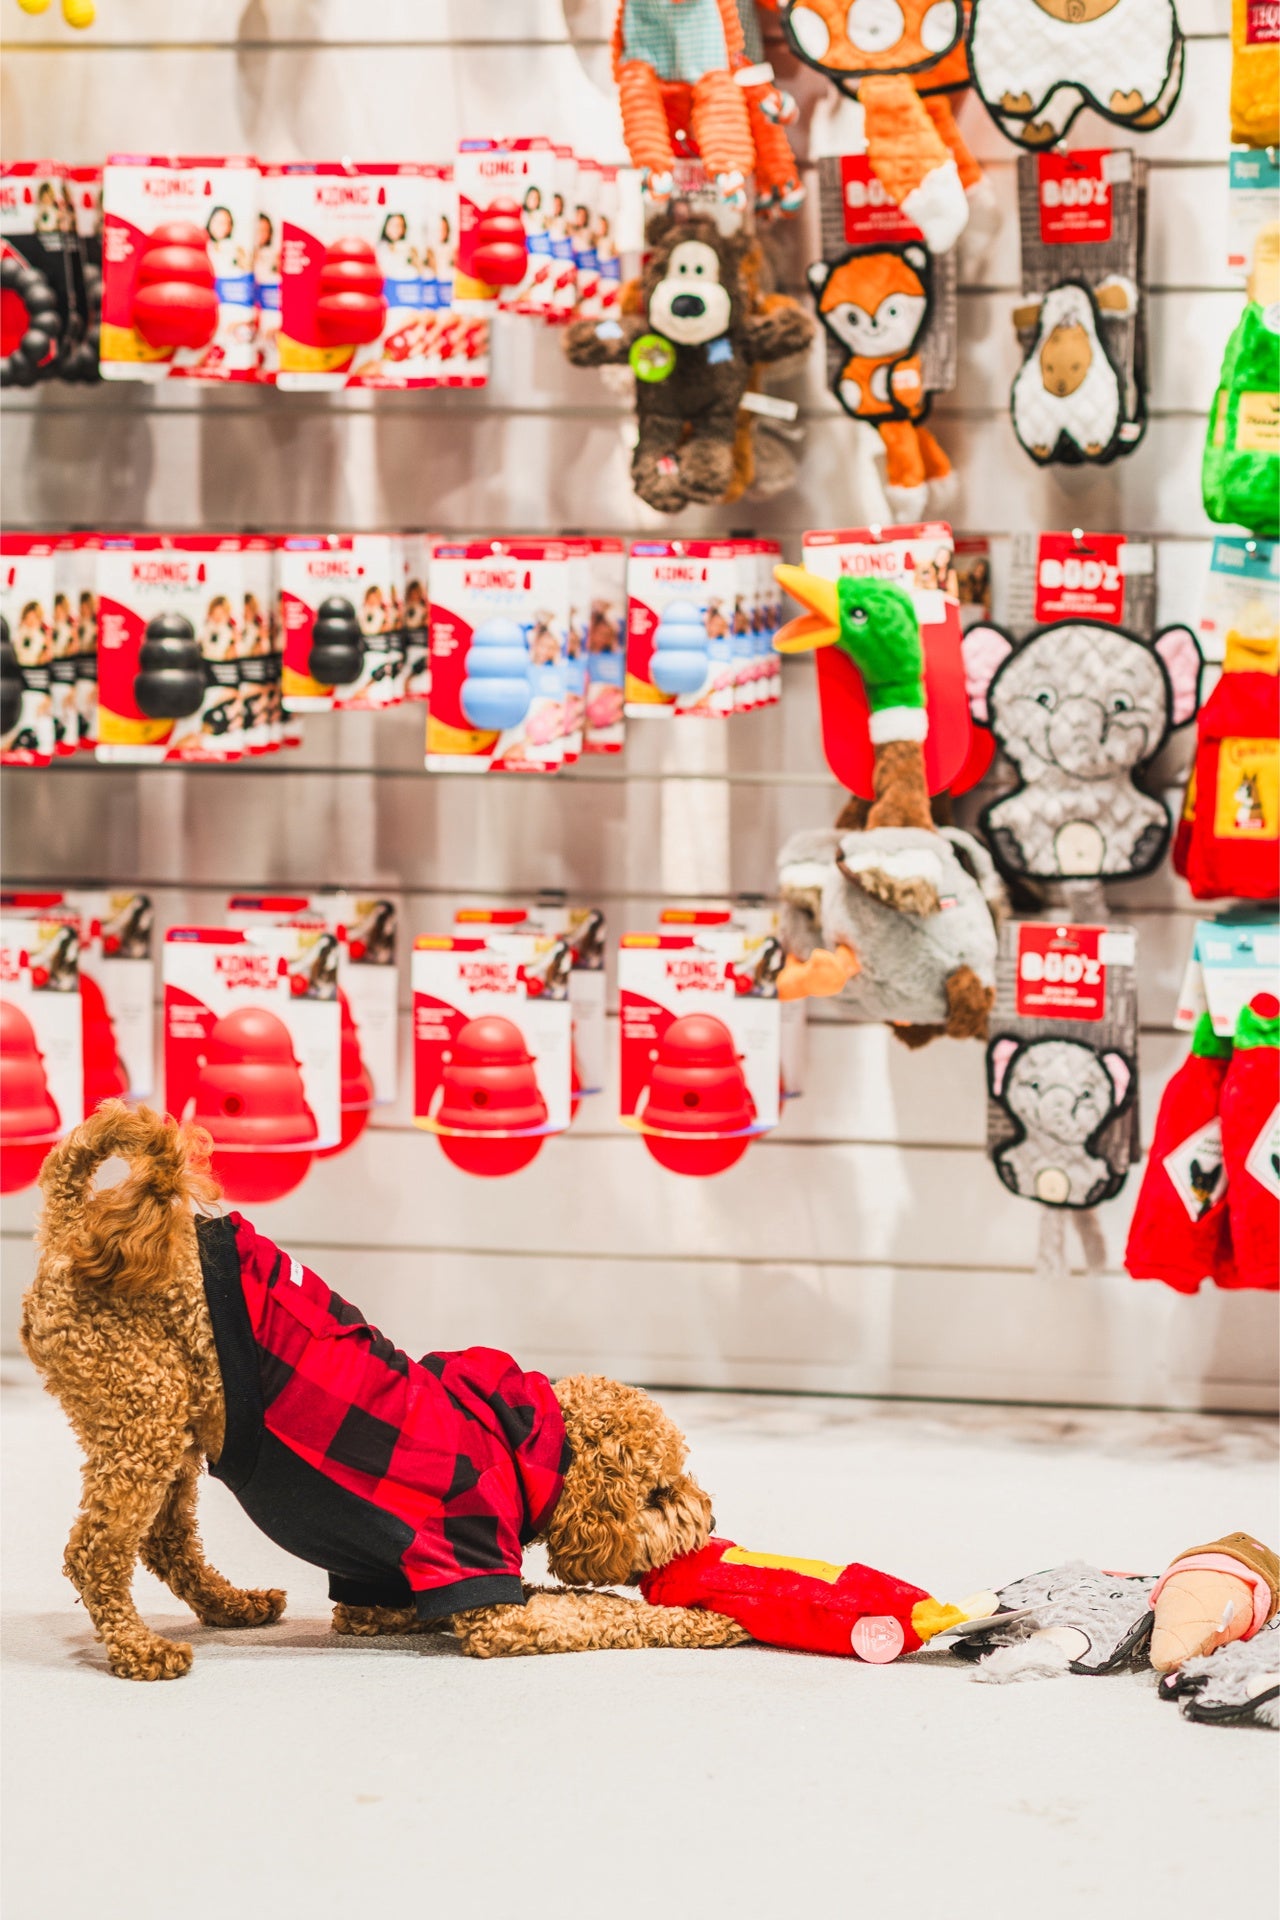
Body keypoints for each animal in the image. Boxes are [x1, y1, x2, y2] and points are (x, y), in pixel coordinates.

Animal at [20, 1113, 744, 1681]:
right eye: (659, 1494)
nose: (711, 1519)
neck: (524, 1449)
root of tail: (67, 1237)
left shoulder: (373, 1599)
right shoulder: (480, 1586)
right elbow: (602, 1611)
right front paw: (702, 1619)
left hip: (176, 1425)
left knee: (166, 1541)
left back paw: (233, 1606)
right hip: (143, 1412)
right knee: (96, 1551)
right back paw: (140, 1649)